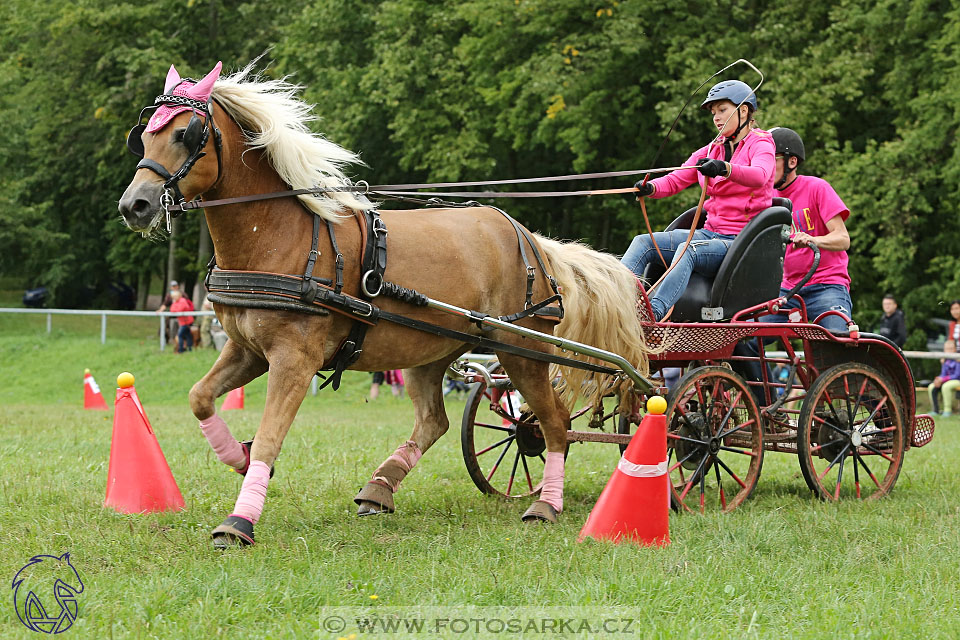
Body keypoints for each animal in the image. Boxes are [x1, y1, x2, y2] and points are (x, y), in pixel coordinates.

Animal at [116, 61, 648, 552]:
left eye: (186, 134)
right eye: (143, 136)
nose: (134, 205)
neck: (282, 238)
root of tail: (530, 238)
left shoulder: (294, 360)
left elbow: (270, 435)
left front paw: (240, 519)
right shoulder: (247, 350)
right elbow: (200, 398)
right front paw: (239, 458)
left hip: (521, 348)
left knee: (554, 425)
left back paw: (546, 504)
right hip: (430, 352)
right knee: (436, 420)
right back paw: (380, 487)